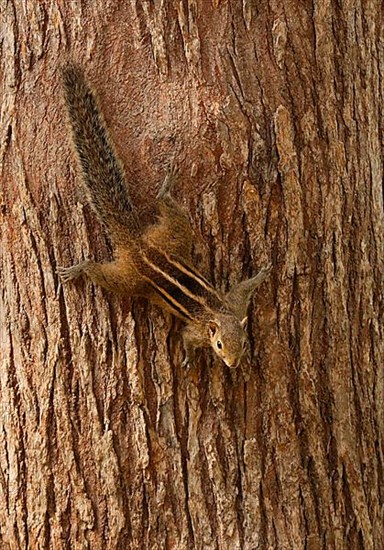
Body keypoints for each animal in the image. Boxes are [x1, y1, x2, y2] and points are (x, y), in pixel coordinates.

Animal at [58, 66, 272, 370]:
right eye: (219, 345)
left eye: (243, 342)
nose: (232, 364)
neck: (218, 313)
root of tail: (138, 244)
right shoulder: (197, 330)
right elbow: (187, 339)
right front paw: (188, 358)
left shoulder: (235, 302)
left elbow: (244, 287)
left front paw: (262, 274)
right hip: (128, 279)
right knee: (101, 274)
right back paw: (79, 268)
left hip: (174, 232)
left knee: (166, 206)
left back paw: (165, 187)